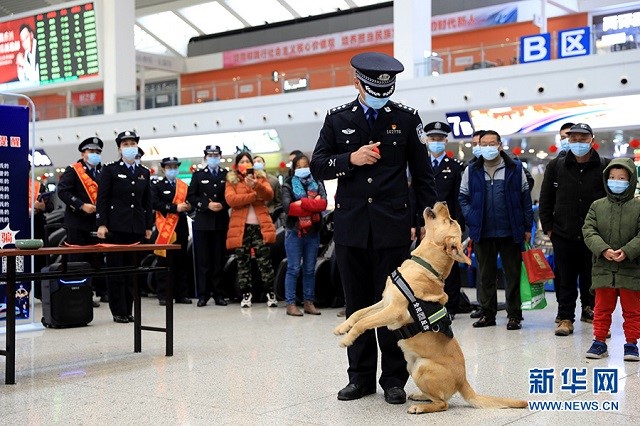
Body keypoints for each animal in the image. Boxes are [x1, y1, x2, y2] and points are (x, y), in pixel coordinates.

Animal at [336, 201, 524, 414]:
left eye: (451, 221)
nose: (444, 202)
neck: (424, 265)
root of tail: (464, 382)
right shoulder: (385, 302)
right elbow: (359, 313)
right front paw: (342, 328)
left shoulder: (393, 310)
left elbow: (364, 322)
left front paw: (347, 340)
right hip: (412, 366)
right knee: (438, 398)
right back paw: (420, 396)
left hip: (422, 367)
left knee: (443, 403)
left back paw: (420, 407)